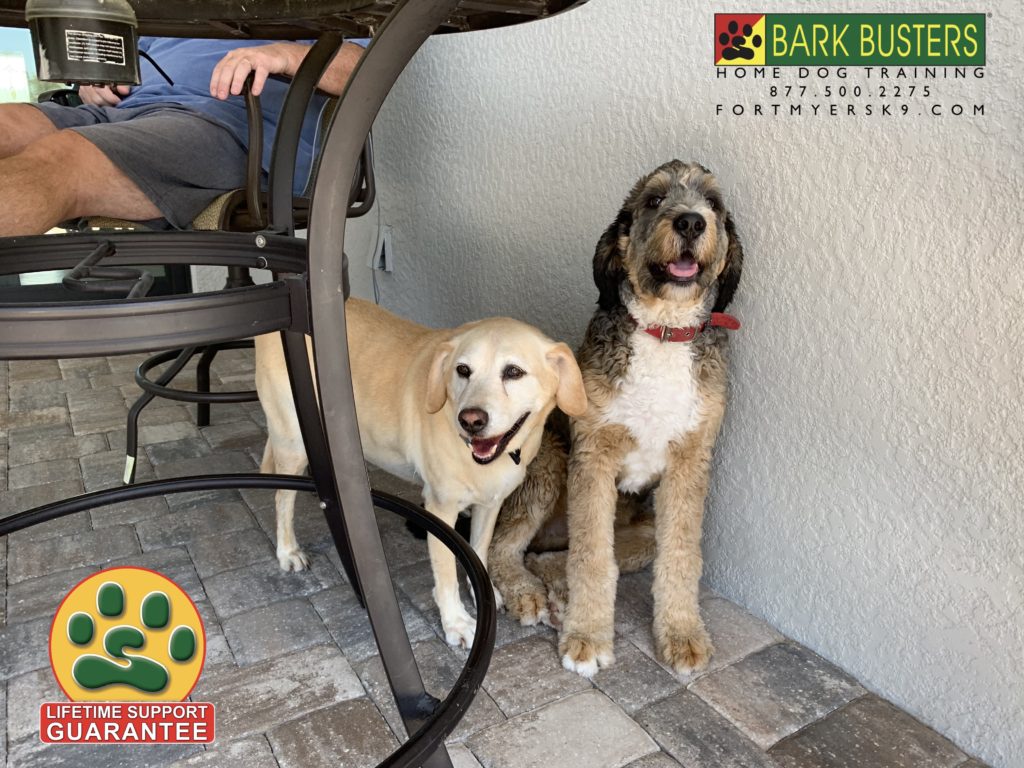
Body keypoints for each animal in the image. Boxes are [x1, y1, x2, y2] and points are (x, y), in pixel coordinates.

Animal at [254, 297, 587, 649]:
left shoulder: (490, 505)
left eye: (513, 372)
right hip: (292, 443)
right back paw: (288, 550)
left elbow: (479, 551)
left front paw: (483, 593)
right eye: (463, 370)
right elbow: (445, 574)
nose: (470, 420)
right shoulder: (441, 511)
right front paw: (456, 621)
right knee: (282, 497)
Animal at [489, 160, 743, 677]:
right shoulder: (593, 456)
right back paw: (528, 594)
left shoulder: (690, 464)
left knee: (558, 554)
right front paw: (587, 637)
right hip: (547, 460)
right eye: (654, 200)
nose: (691, 222)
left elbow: (680, 556)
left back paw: (554, 591)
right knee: (502, 548)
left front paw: (683, 634)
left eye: (713, 203)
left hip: (638, 523)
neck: (663, 330)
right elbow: (591, 558)